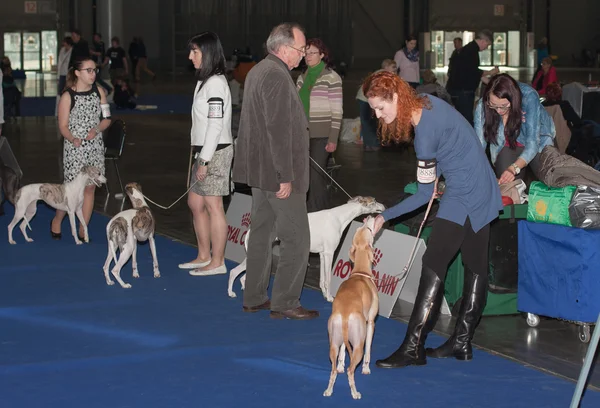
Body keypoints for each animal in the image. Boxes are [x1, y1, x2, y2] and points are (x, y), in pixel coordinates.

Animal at [227, 196, 386, 302]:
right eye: (374, 201)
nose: (384, 206)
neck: (339, 217)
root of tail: (251, 228)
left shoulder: (322, 254)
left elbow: (322, 279)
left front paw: (324, 294)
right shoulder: (329, 253)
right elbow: (328, 279)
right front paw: (330, 298)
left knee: (238, 273)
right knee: (236, 272)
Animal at [324, 215, 380, 400]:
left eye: (360, 228)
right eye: (367, 229)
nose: (368, 217)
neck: (360, 272)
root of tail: (345, 314)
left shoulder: (342, 340)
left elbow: (342, 353)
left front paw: (341, 364)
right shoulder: (371, 323)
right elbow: (369, 349)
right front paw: (366, 369)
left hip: (333, 341)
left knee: (333, 369)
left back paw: (329, 390)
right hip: (358, 345)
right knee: (351, 370)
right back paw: (355, 393)